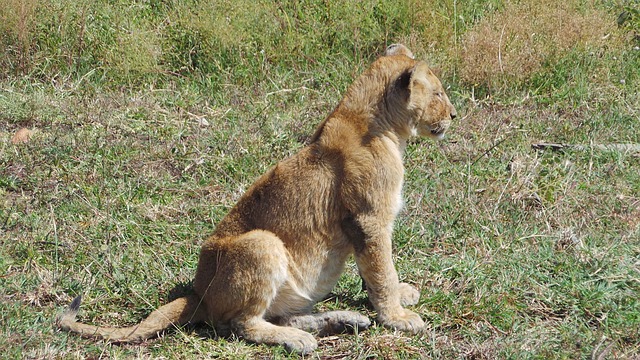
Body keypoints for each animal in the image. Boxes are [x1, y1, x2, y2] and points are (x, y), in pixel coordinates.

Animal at [58, 43, 456, 352]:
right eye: (437, 93)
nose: (454, 114)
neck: (380, 124)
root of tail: (198, 293)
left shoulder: (364, 224)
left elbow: (374, 270)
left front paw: (397, 298)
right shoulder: (369, 219)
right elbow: (381, 269)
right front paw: (398, 317)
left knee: (285, 315)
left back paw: (342, 321)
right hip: (263, 243)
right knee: (240, 324)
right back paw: (300, 340)